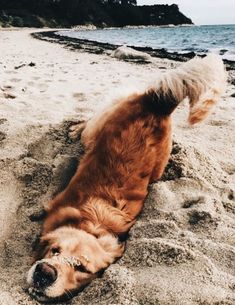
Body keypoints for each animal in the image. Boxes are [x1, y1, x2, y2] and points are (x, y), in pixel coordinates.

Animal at [26, 54, 227, 300]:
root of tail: (157, 103)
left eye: (82, 268)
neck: (94, 225)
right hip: (99, 130)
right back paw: (75, 129)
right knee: (90, 123)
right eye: (55, 250)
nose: (44, 271)